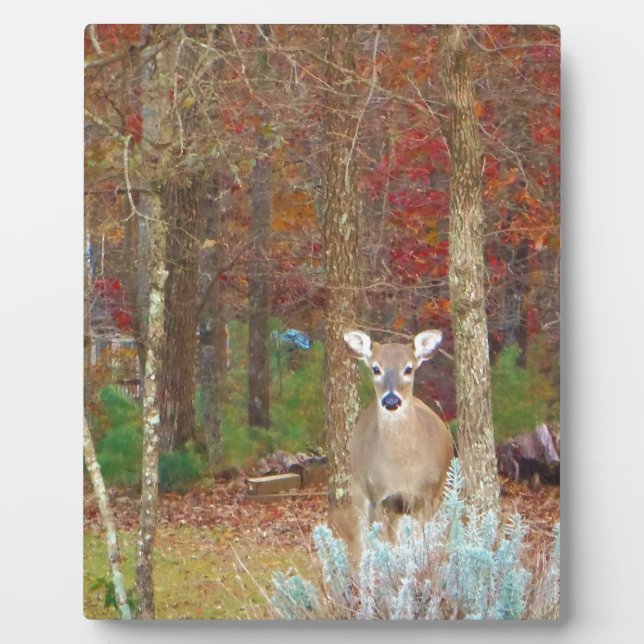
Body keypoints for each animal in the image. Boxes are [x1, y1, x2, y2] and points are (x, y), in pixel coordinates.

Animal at [341, 329, 454, 545]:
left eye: (408, 369)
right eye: (376, 368)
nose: (391, 400)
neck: (402, 469)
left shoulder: (426, 497)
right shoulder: (378, 497)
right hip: (359, 490)